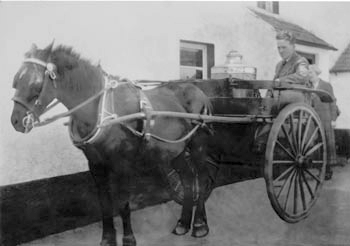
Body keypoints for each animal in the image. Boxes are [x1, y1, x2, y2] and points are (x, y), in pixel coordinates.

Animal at [10, 42, 213, 246]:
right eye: (16, 81)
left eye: (35, 83)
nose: (16, 121)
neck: (101, 109)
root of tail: (200, 92)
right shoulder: (96, 164)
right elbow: (104, 203)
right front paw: (107, 238)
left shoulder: (123, 164)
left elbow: (123, 203)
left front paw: (129, 238)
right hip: (175, 150)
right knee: (188, 179)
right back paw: (183, 223)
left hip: (198, 146)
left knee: (202, 178)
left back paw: (199, 224)